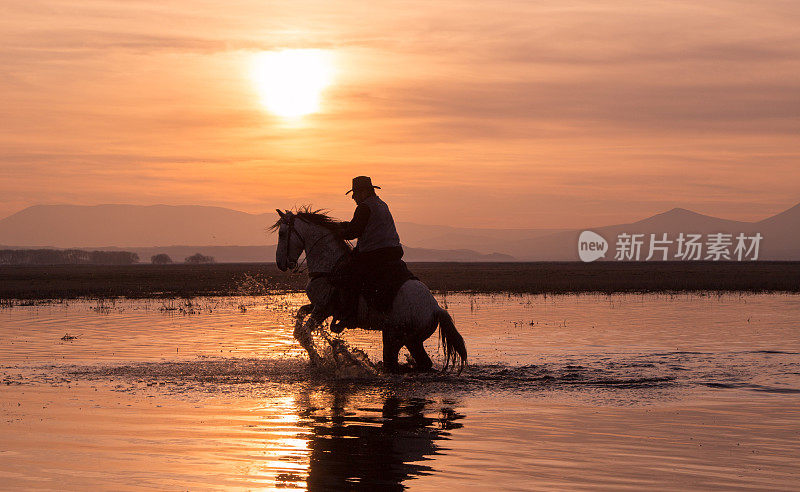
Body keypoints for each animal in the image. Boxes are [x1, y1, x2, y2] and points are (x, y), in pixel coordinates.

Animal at [272, 208, 466, 372]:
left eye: (282, 234)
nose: (280, 264)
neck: (329, 266)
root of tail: (436, 309)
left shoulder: (323, 309)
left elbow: (305, 333)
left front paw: (319, 359)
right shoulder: (318, 306)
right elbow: (300, 320)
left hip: (394, 338)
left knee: (394, 364)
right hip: (412, 341)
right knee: (422, 363)